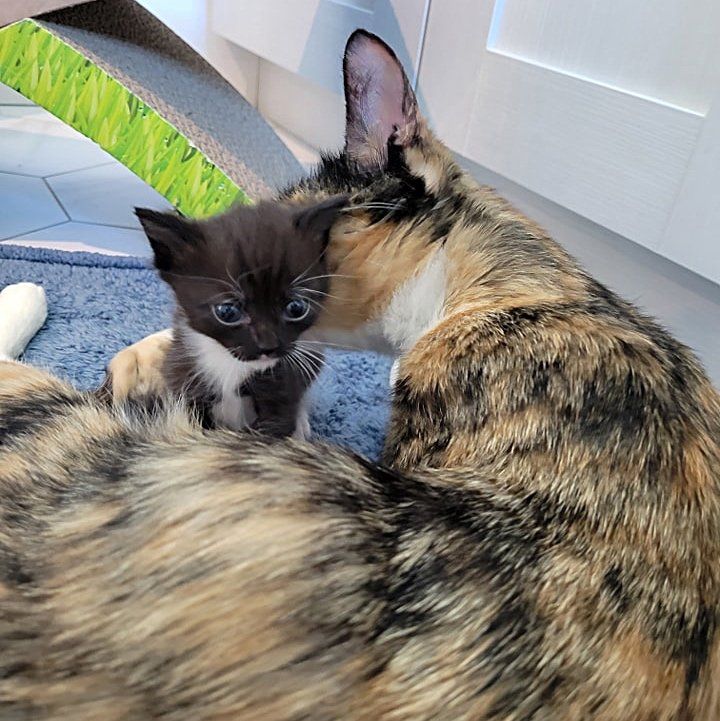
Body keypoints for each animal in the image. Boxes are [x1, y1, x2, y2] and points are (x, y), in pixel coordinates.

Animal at [137, 194, 348, 436]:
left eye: (296, 308)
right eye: (227, 312)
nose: (268, 346)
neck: (229, 365)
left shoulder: (282, 388)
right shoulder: (183, 376)